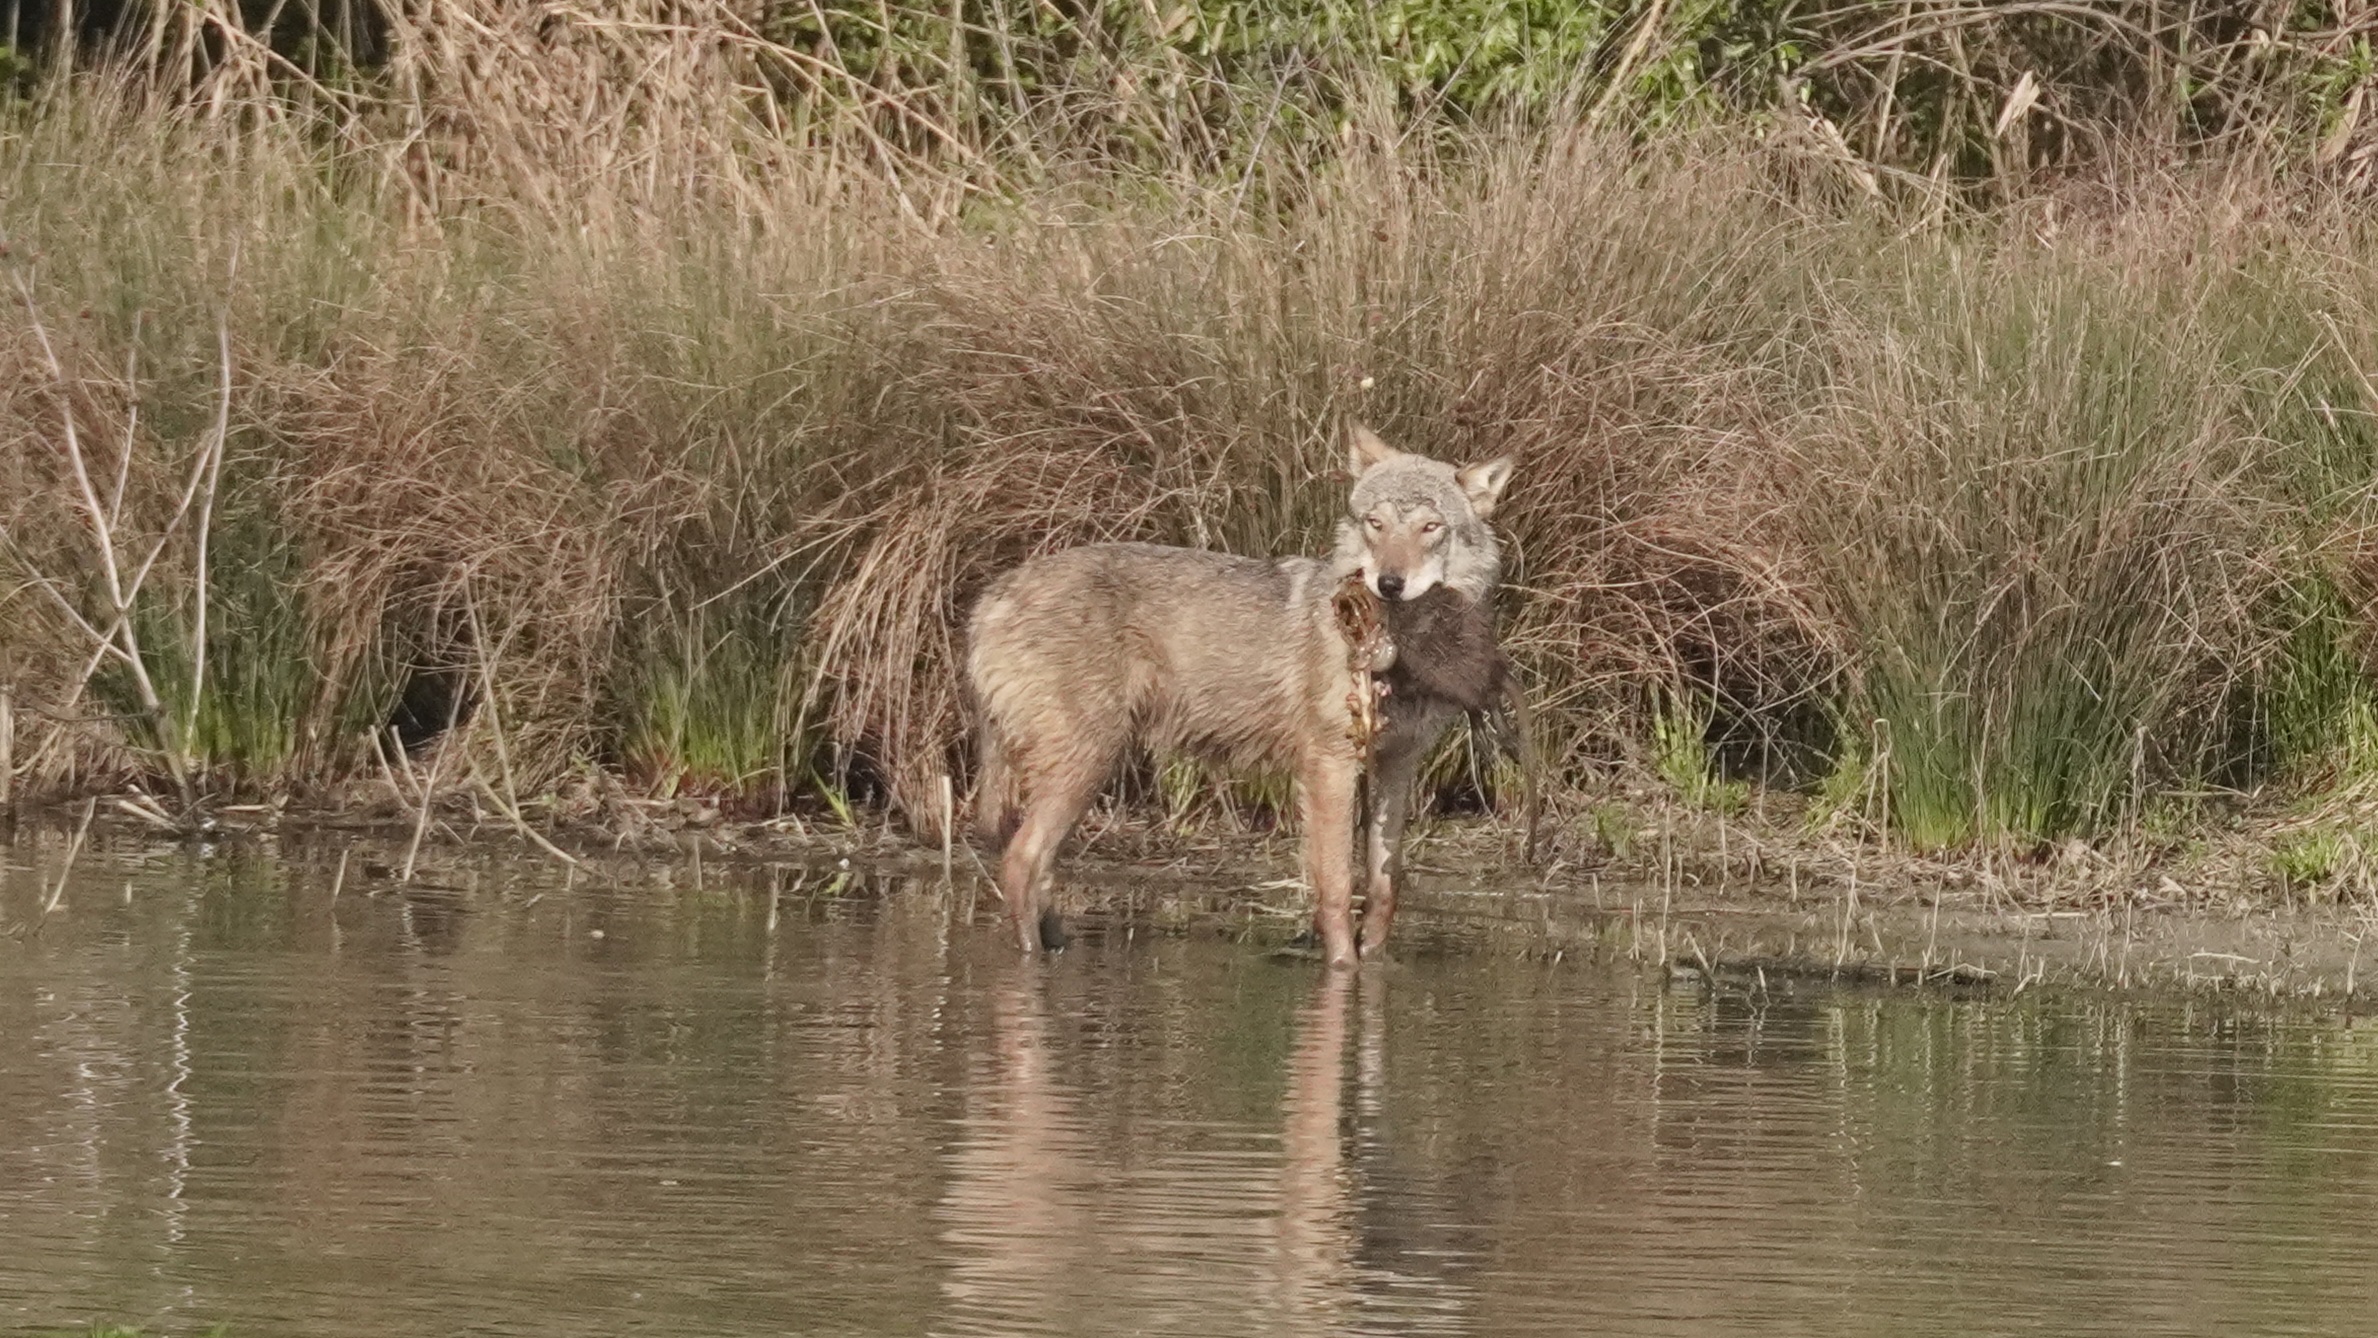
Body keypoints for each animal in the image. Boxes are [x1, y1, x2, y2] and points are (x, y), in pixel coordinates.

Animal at [966, 424, 1516, 967]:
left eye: (1430, 528)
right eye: (1376, 524)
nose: (1389, 583)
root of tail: (990, 598)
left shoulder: (1397, 764)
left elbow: (1385, 888)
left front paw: (1376, 964)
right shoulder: (1329, 766)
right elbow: (1336, 889)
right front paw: (1343, 971)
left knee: (1037, 871)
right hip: (1088, 767)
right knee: (1020, 863)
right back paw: (1031, 964)